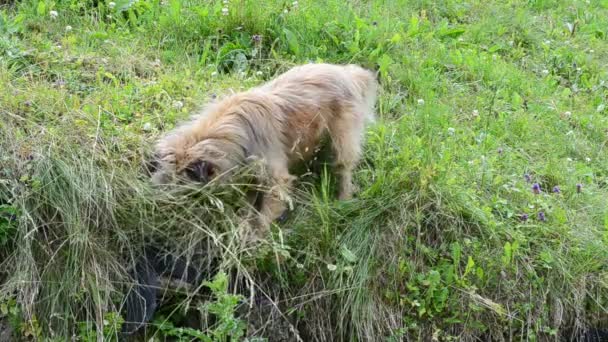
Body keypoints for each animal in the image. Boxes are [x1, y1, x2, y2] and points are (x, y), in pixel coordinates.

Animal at [150, 62, 378, 238]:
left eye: (177, 182)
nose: (152, 194)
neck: (224, 133)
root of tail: (348, 73)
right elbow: (249, 202)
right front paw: (244, 223)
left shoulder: (275, 178)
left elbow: (267, 209)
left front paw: (256, 237)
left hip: (342, 139)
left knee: (344, 168)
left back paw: (344, 198)